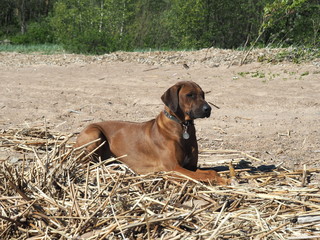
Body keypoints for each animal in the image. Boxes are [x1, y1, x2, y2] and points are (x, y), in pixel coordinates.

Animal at [74, 81, 229, 185]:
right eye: (189, 95)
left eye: (203, 95)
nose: (208, 109)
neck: (182, 127)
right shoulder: (173, 169)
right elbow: (205, 176)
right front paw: (223, 180)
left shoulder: (189, 167)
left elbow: (210, 171)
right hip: (95, 133)